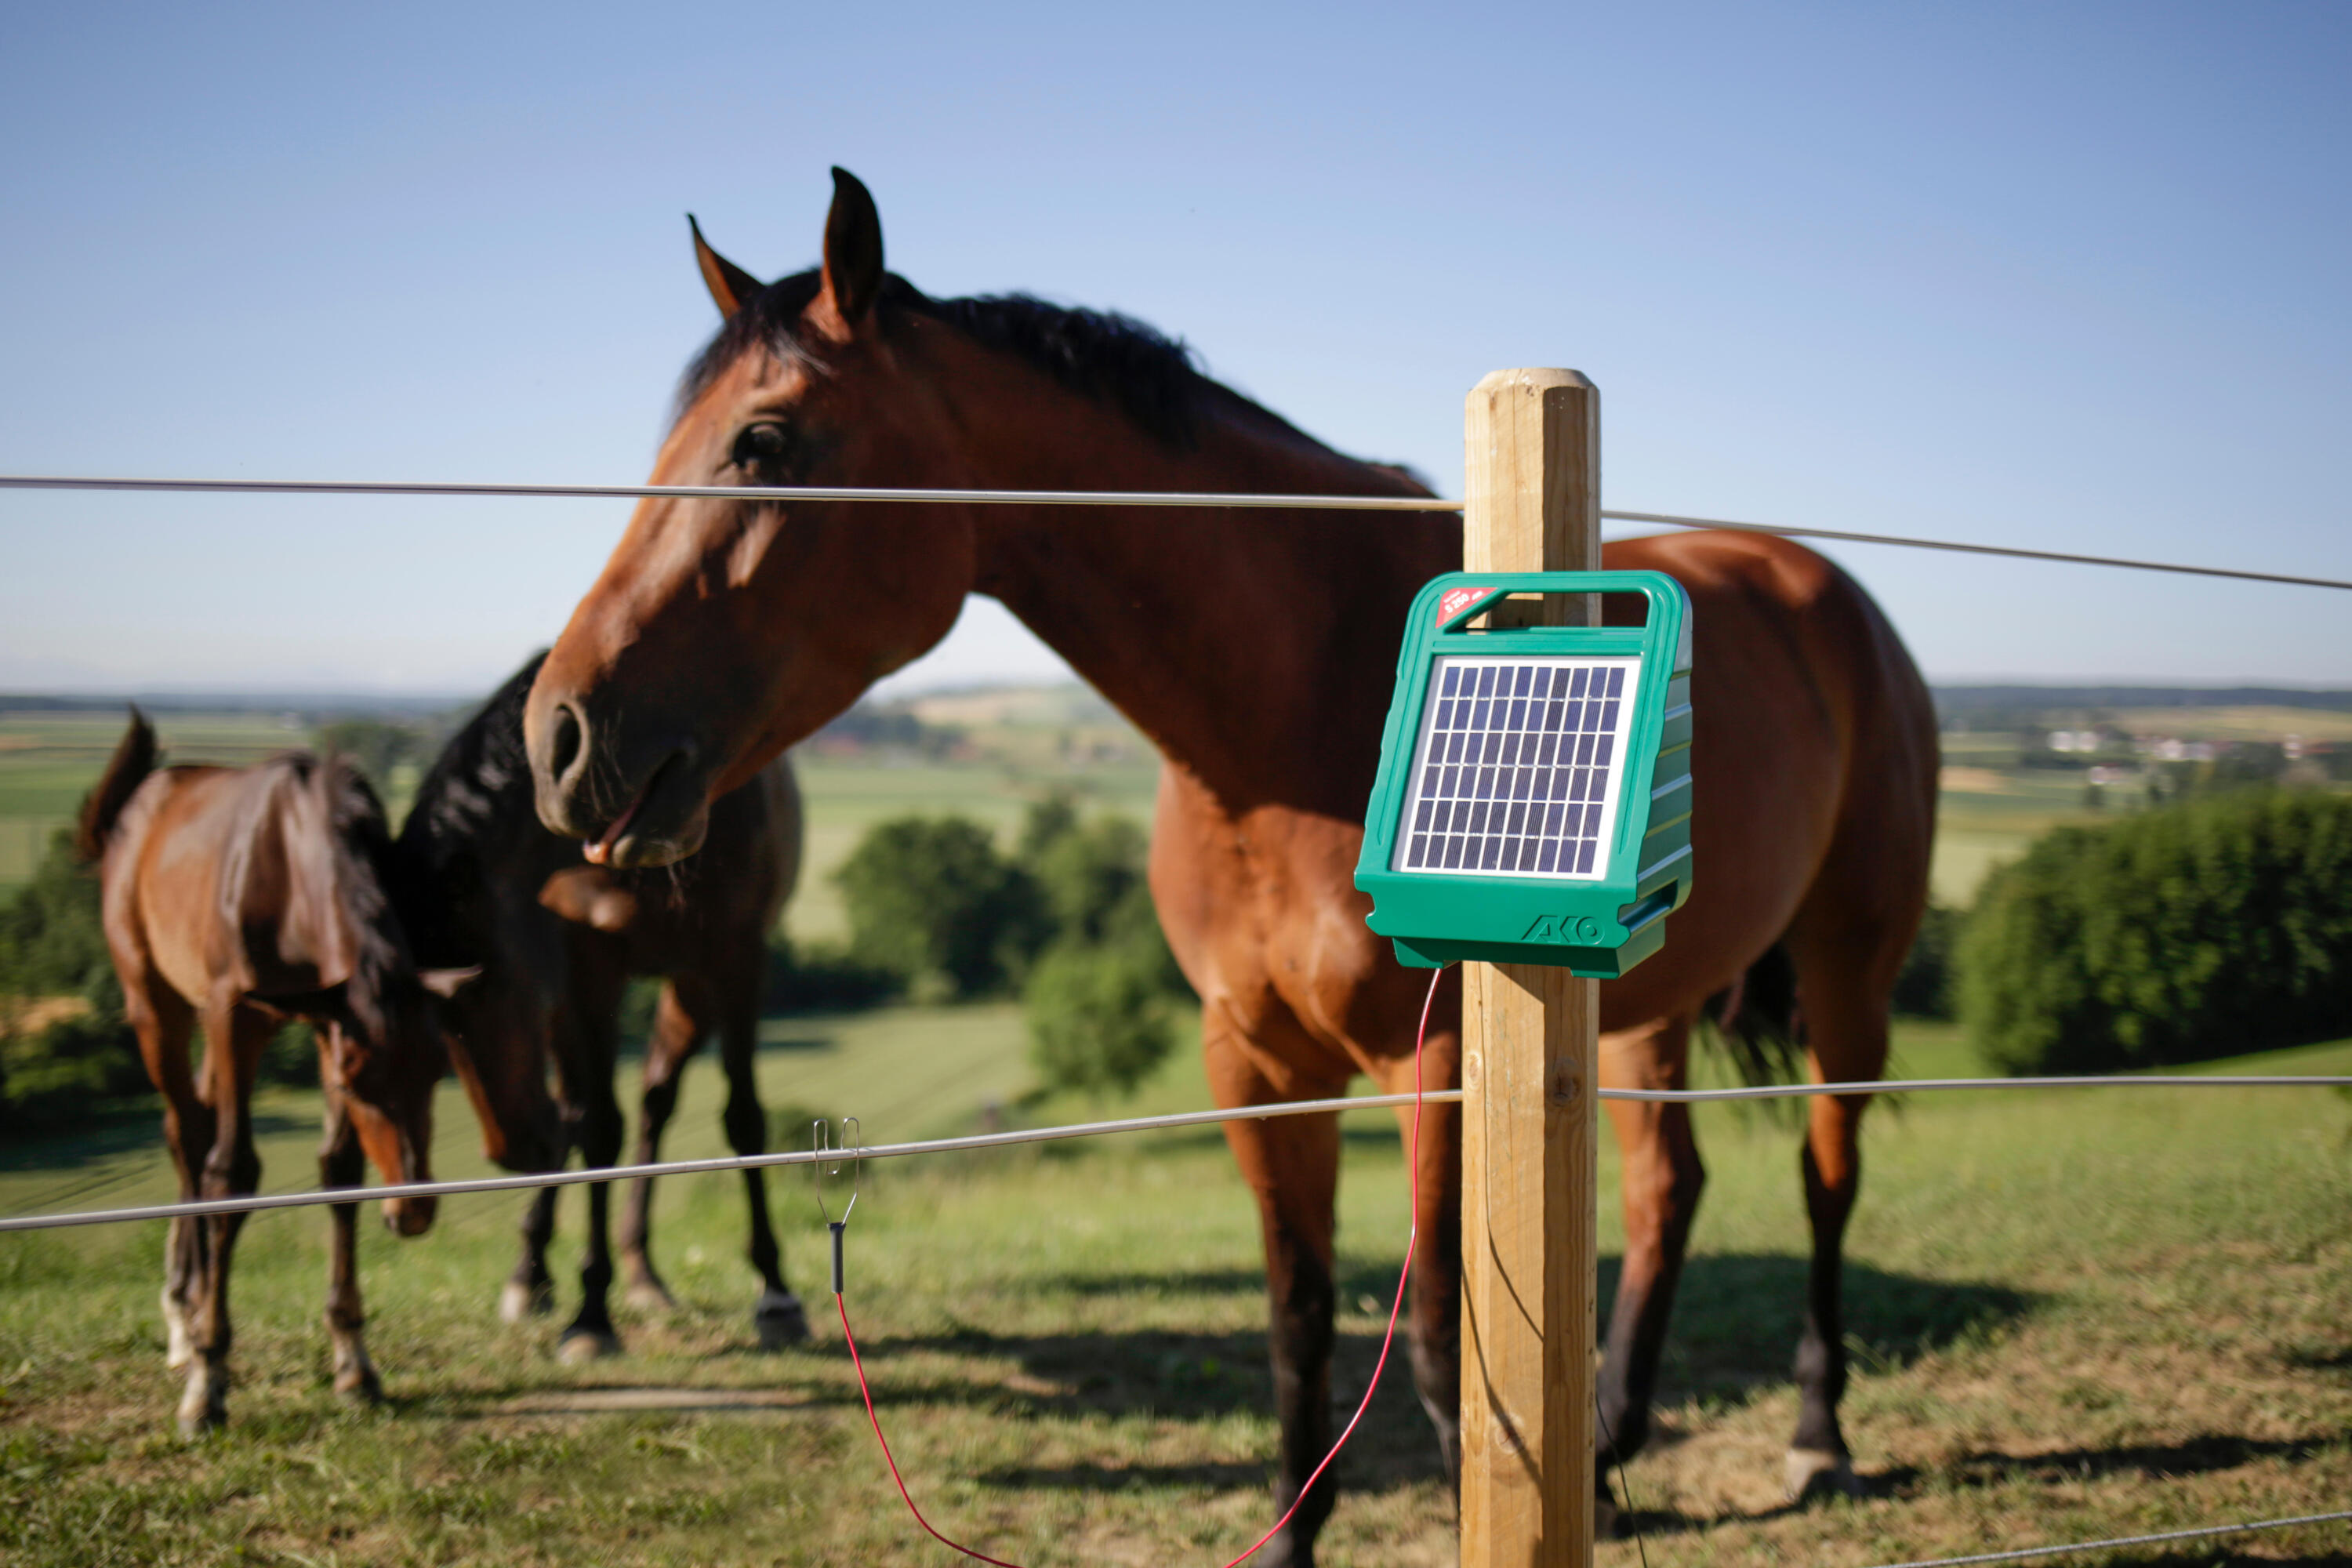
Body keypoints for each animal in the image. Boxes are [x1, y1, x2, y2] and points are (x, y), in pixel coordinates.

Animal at [77, 713, 460, 1435]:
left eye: (437, 1071)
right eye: (359, 1085)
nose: (414, 1211)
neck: (288, 867)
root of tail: (140, 802)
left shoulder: (327, 1024)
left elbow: (340, 1171)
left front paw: (354, 1361)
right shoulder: (237, 1017)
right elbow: (232, 1176)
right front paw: (208, 1379)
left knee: (194, 1124)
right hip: (156, 1005)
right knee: (188, 1134)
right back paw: (186, 1317)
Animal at [395, 654, 810, 1358]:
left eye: (484, 987)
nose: (509, 1148)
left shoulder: (736, 956)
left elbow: (745, 1120)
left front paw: (776, 1292)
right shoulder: (586, 968)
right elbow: (595, 1129)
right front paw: (590, 1312)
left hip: (687, 985)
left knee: (654, 1100)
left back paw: (642, 1271)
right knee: (580, 1109)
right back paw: (532, 1273)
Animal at [521, 171, 1937, 1561]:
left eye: (762, 441)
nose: (561, 734)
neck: (1292, 703)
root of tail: (1821, 588)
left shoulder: (1431, 1060)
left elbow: (1439, 1351)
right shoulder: (1252, 1059)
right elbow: (1297, 1321)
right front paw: (1292, 1540)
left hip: (1846, 978)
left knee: (1829, 1177)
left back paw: (1818, 1432)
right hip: (1645, 1006)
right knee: (1666, 1190)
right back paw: (1614, 1436)